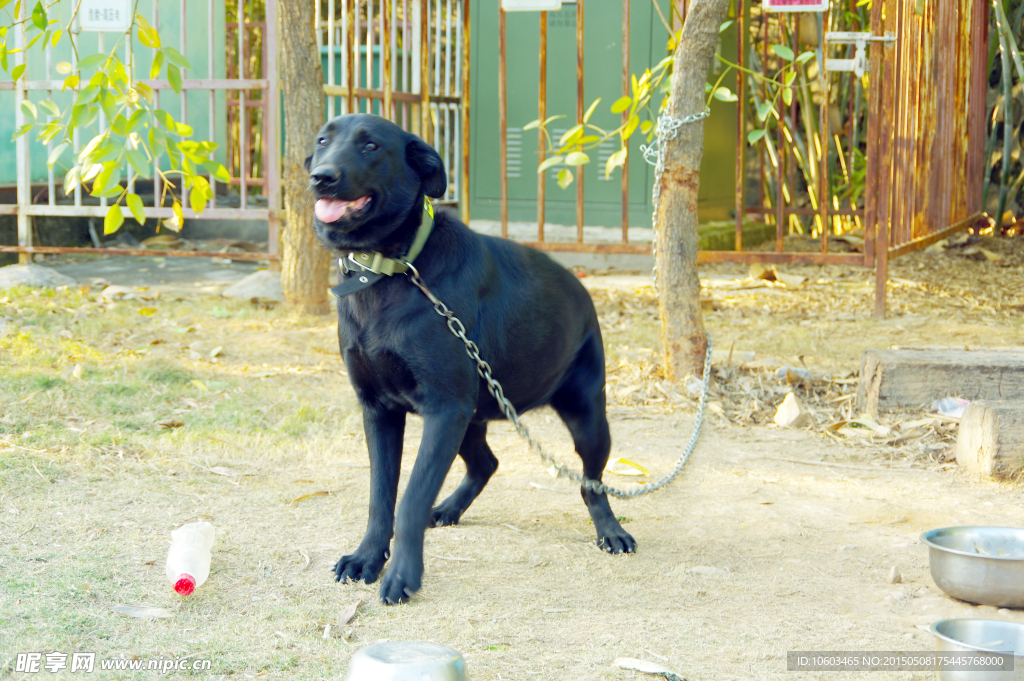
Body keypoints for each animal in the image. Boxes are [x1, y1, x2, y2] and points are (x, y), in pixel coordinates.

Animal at [303, 114, 630, 602]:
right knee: (486, 463)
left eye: (371, 146)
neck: (395, 267)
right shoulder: (381, 410)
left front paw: (402, 574)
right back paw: (449, 509)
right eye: (323, 141)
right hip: (472, 416)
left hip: (585, 418)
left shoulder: (443, 410)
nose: (321, 177)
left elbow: (410, 498)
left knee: (592, 482)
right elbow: (381, 496)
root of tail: (580, 284)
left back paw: (610, 531)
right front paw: (367, 558)